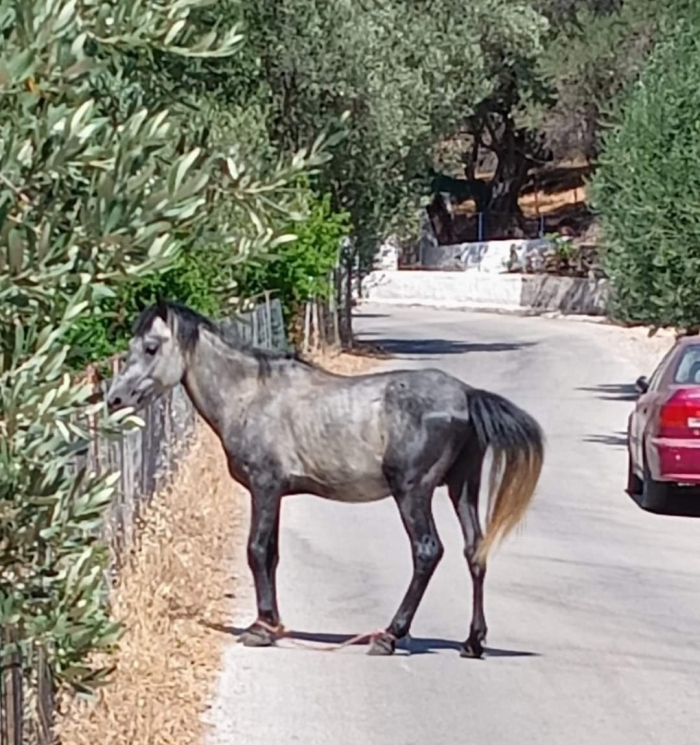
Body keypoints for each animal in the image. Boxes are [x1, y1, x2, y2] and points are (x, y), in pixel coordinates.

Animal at [106, 300, 544, 652]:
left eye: (151, 347)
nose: (114, 398)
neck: (251, 395)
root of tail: (466, 395)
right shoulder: (277, 493)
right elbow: (272, 554)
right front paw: (273, 624)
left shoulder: (264, 488)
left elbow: (257, 551)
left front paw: (260, 629)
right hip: (461, 488)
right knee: (475, 552)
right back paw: (473, 642)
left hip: (413, 492)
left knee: (427, 551)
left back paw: (390, 635)